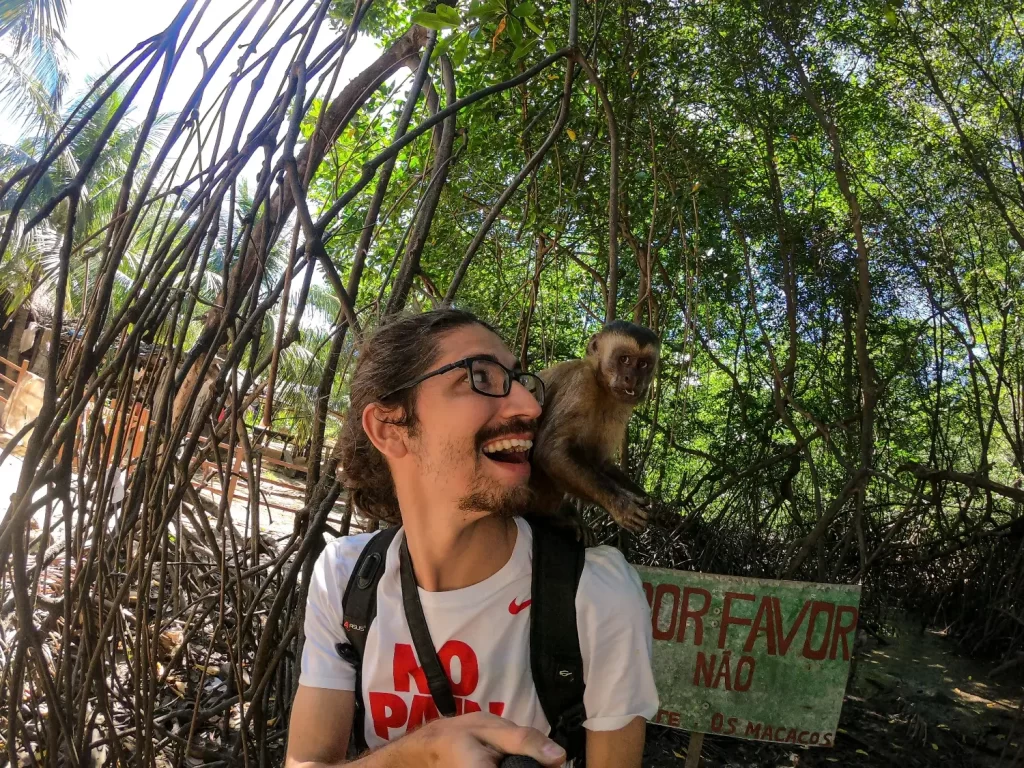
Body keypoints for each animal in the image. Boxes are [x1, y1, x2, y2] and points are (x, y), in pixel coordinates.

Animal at [528, 321, 663, 536]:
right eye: (624, 359)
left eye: (643, 364)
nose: (632, 378)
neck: (600, 385)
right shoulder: (581, 382)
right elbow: (551, 452)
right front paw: (620, 503)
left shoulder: (621, 406)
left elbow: (600, 463)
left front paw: (655, 506)